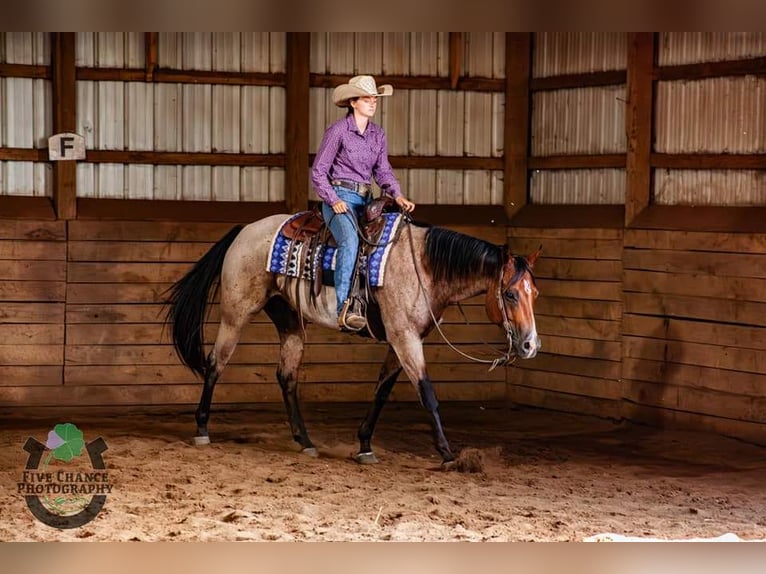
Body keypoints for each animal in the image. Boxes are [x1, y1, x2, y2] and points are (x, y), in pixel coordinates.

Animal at [165, 214, 544, 470]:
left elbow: (381, 392)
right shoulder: (405, 338)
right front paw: (448, 453)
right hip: (236, 313)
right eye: (510, 294)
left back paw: (305, 441)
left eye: (534, 293)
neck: (423, 265)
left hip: (290, 322)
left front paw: (364, 445)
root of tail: (244, 231)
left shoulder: (400, 339)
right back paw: (202, 428)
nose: (530, 345)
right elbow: (427, 393)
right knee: (216, 364)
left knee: (287, 377)